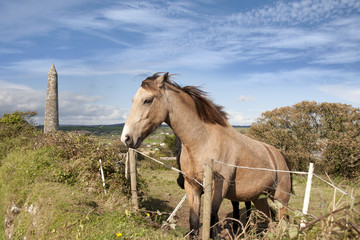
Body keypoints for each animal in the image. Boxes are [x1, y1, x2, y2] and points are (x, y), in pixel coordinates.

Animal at [121, 72, 292, 238]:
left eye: (147, 100)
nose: (126, 138)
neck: (204, 142)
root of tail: (279, 155)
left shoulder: (218, 189)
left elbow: (212, 221)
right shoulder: (192, 188)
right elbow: (194, 223)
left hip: (280, 200)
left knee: (282, 223)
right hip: (260, 198)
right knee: (271, 223)